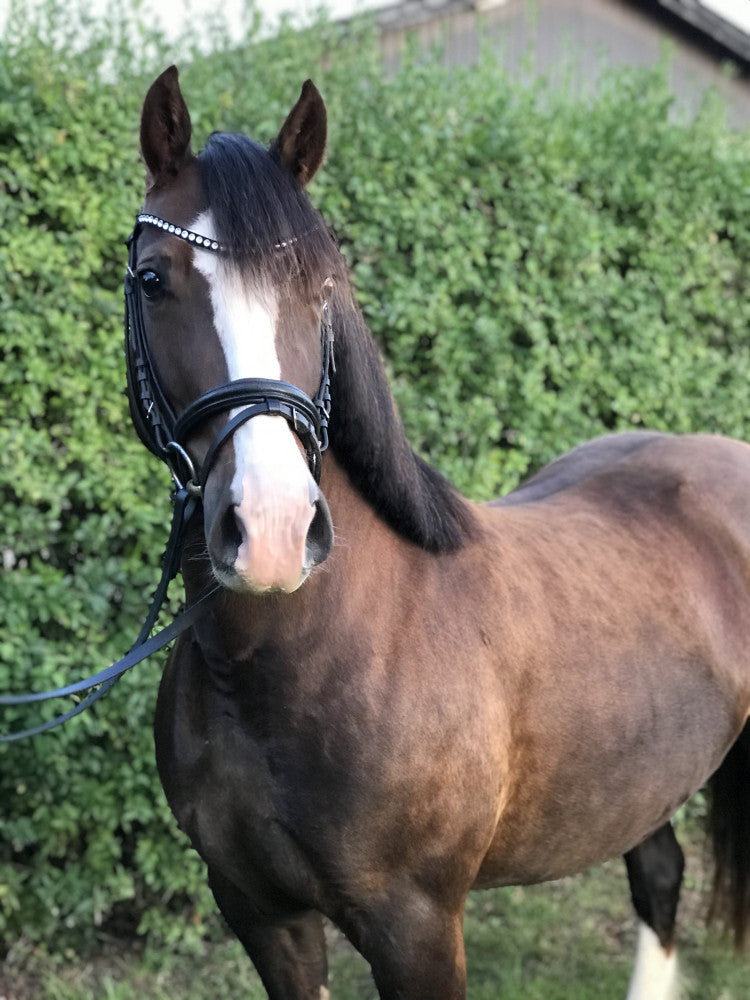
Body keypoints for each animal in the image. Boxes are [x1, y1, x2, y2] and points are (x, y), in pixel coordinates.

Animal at [126, 65, 750, 999]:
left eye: (321, 289)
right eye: (152, 280)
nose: (272, 528)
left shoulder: (416, 928)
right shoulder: (260, 914)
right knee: (659, 873)